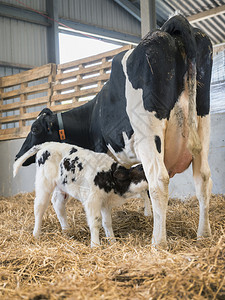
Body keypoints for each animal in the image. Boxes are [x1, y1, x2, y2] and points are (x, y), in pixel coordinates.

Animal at [13, 142, 149, 247]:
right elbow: (96, 221)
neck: (109, 175)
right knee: (39, 206)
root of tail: (47, 144)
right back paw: (36, 235)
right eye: (142, 169)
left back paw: (66, 231)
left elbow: (107, 222)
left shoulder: (105, 202)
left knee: (58, 203)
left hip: (61, 186)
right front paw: (95, 245)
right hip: (44, 182)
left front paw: (113, 242)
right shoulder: (92, 200)